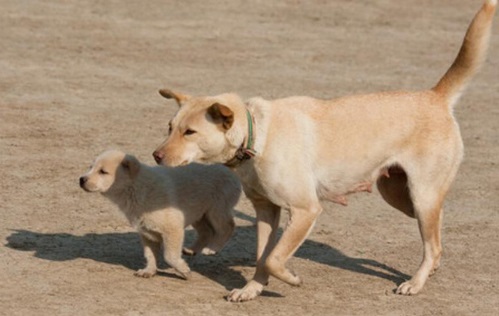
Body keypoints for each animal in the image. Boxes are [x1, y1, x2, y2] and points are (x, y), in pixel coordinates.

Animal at [79, 151, 241, 278]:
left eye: (103, 172)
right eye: (91, 168)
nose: (81, 180)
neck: (135, 188)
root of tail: (227, 167)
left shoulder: (173, 229)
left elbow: (169, 256)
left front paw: (184, 270)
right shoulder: (147, 233)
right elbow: (149, 254)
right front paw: (149, 271)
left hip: (217, 208)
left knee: (228, 227)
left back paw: (212, 248)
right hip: (199, 213)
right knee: (206, 231)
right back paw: (192, 249)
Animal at [151, 0, 496, 302]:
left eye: (190, 132)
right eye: (170, 127)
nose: (156, 156)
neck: (258, 134)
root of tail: (435, 96)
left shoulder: (305, 210)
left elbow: (274, 258)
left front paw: (290, 278)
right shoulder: (267, 211)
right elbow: (263, 257)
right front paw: (251, 290)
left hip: (422, 196)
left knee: (432, 243)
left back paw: (415, 283)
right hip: (402, 196)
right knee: (436, 235)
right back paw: (431, 268)